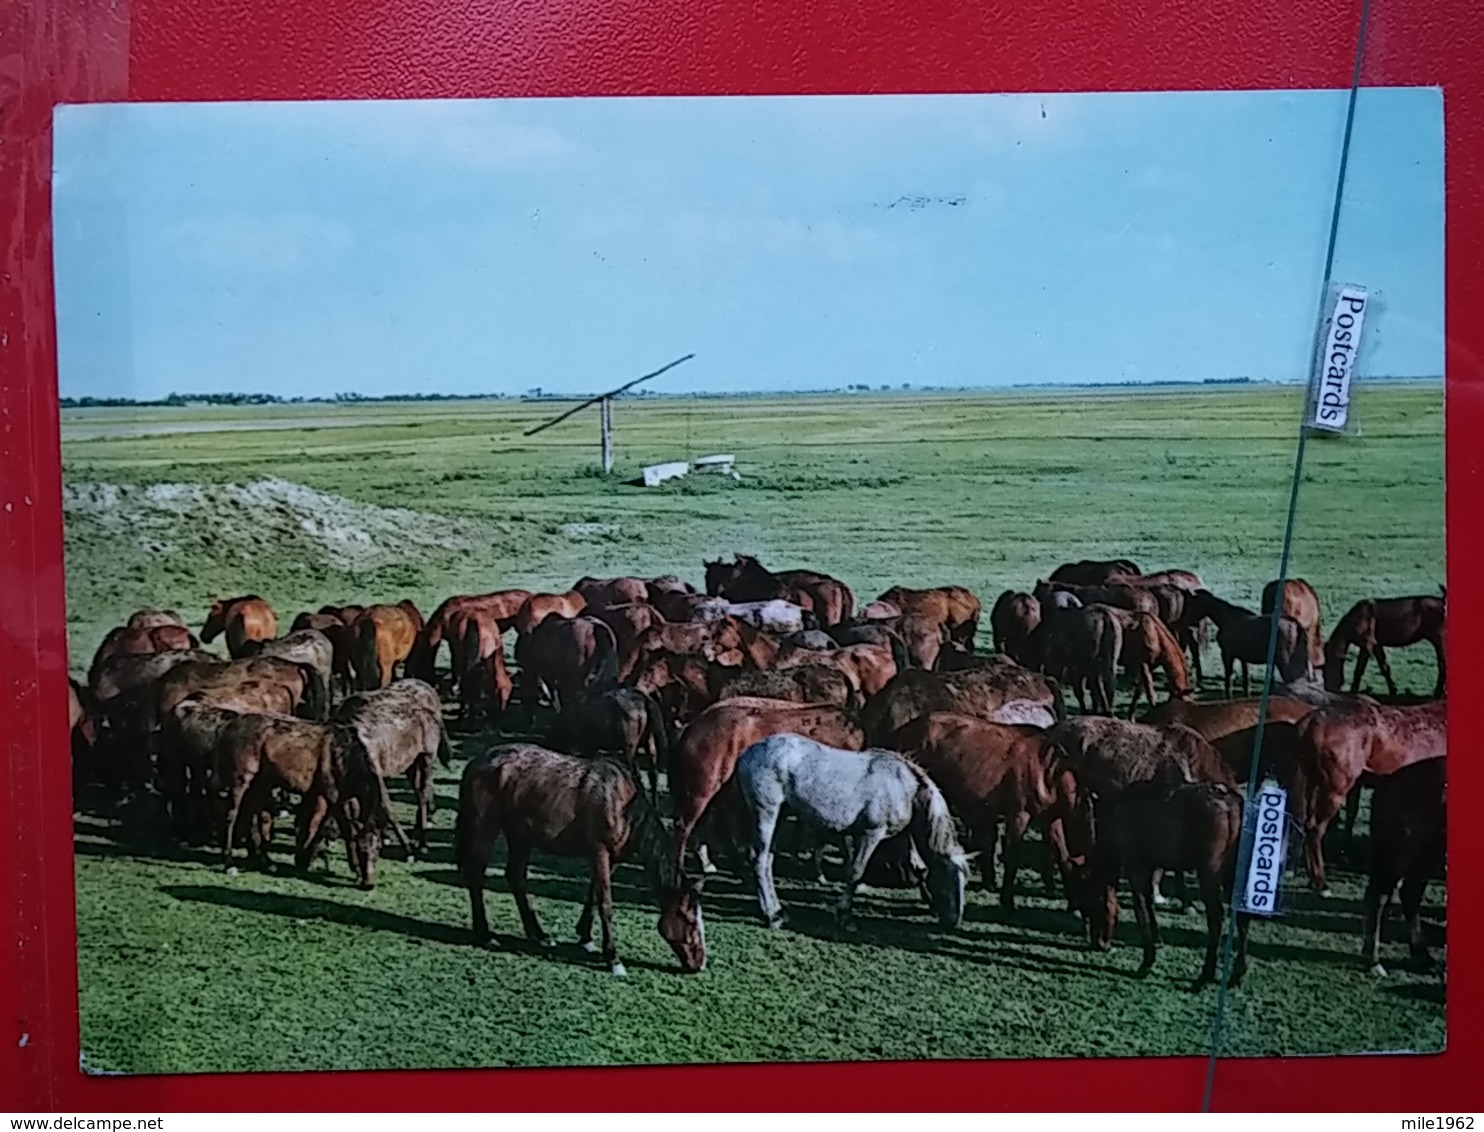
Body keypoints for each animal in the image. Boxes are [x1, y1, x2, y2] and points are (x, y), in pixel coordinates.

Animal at [451, 747, 706, 979]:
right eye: (691, 921)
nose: (700, 964)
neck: (622, 804)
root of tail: (478, 761)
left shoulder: (610, 858)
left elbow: (593, 897)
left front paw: (586, 938)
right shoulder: (599, 852)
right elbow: (605, 904)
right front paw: (613, 959)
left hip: (520, 836)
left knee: (515, 877)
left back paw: (540, 935)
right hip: (485, 827)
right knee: (476, 875)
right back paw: (485, 935)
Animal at [736, 729, 967, 931]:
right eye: (948, 882)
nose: (953, 922)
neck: (904, 787)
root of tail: (747, 753)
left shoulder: (898, 838)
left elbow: (916, 867)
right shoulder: (871, 833)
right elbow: (856, 871)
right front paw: (845, 917)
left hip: (781, 815)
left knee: (768, 860)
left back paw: (778, 911)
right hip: (766, 813)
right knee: (760, 860)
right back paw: (772, 915)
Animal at [1074, 783, 1246, 985]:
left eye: (1090, 902)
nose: (1098, 943)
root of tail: (1232, 805)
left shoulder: (1134, 862)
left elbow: (1140, 907)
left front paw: (1147, 960)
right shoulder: (1152, 864)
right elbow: (1150, 902)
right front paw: (1157, 939)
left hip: (1209, 869)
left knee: (1216, 917)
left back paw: (1206, 974)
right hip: (1233, 870)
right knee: (1242, 915)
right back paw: (1237, 973)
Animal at [1359, 753, 1442, 973]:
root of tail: (1388, 780)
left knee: (1409, 894)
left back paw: (1422, 955)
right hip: (1398, 856)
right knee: (1380, 896)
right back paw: (1374, 960)